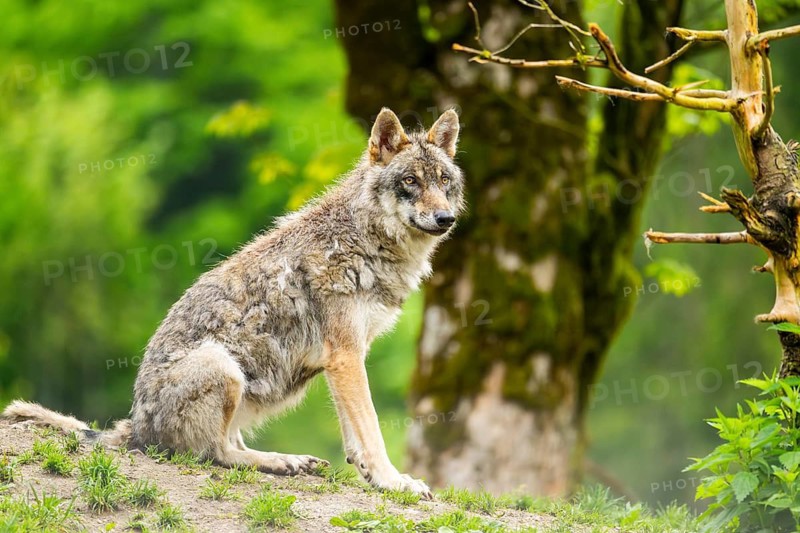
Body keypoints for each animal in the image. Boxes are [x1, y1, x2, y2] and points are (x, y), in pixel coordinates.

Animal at [3, 108, 463, 498]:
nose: (446, 219)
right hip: (222, 367)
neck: (365, 238)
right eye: (410, 182)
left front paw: (371, 476)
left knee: (228, 444)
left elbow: (355, 435)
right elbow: (371, 428)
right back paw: (280, 461)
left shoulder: (350, 355)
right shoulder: (345, 355)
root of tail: (135, 428)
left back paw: (290, 460)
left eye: (444, 182)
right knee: (215, 453)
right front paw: (395, 481)